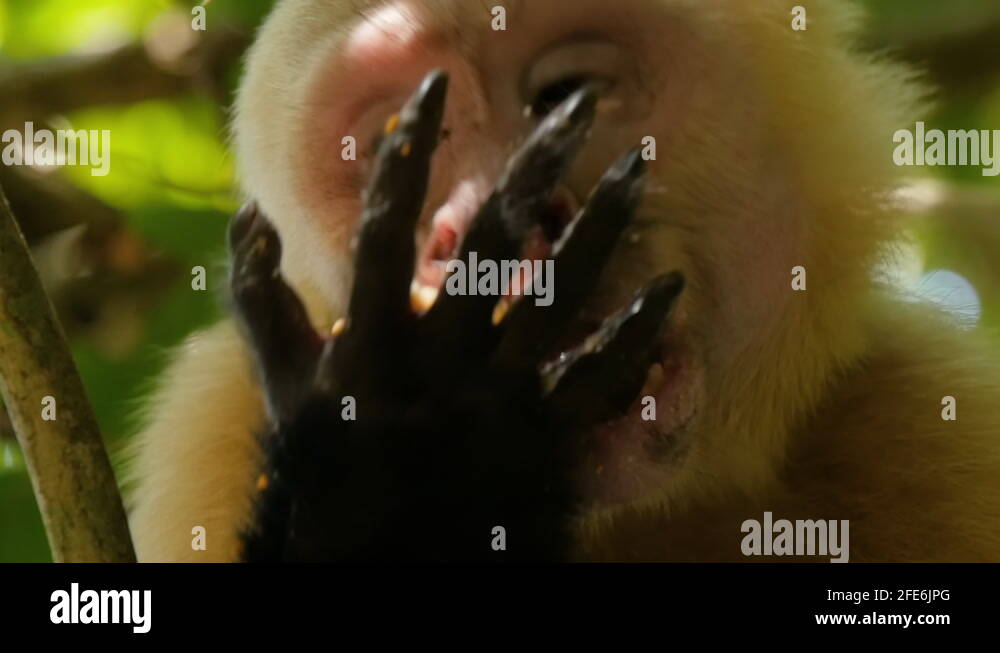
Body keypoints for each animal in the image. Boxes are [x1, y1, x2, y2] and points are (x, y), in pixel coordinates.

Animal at [125, 0, 1000, 562]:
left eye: (565, 95)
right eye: (393, 143)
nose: (483, 221)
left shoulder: (931, 416)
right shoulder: (209, 429)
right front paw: (415, 456)